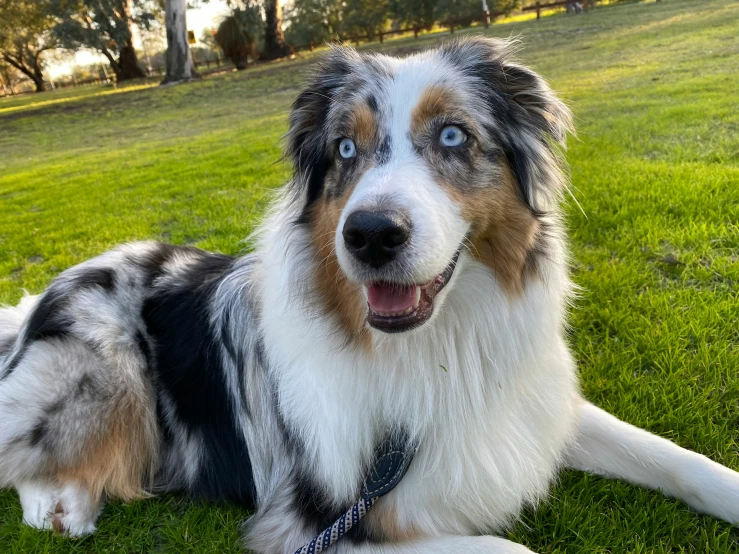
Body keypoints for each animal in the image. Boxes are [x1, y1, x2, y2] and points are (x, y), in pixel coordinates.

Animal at [1, 36, 739, 548]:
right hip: (101, 373)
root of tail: (39, 299)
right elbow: (510, 550)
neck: (439, 350)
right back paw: (56, 506)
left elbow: (674, 457)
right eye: (345, 151)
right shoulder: (314, 520)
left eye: (452, 136)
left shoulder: (525, 408)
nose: (371, 235)